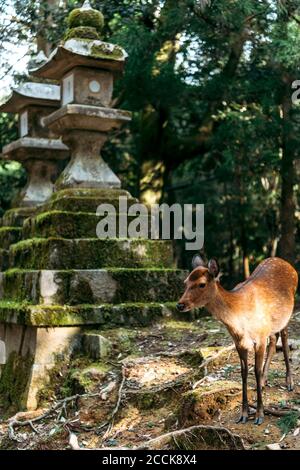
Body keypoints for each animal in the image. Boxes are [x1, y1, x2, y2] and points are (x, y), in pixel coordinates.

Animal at [177, 258, 298, 426]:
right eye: (185, 282)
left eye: (202, 284)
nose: (180, 305)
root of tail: (288, 264)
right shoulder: (239, 342)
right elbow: (244, 373)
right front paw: (244, 414)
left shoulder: (259, 337)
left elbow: (256, 370)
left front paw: (259, 415)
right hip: (270, 325)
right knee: (274, 340)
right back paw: (264, 381)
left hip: (287, 312)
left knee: (285, 339)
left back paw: (289, 382)